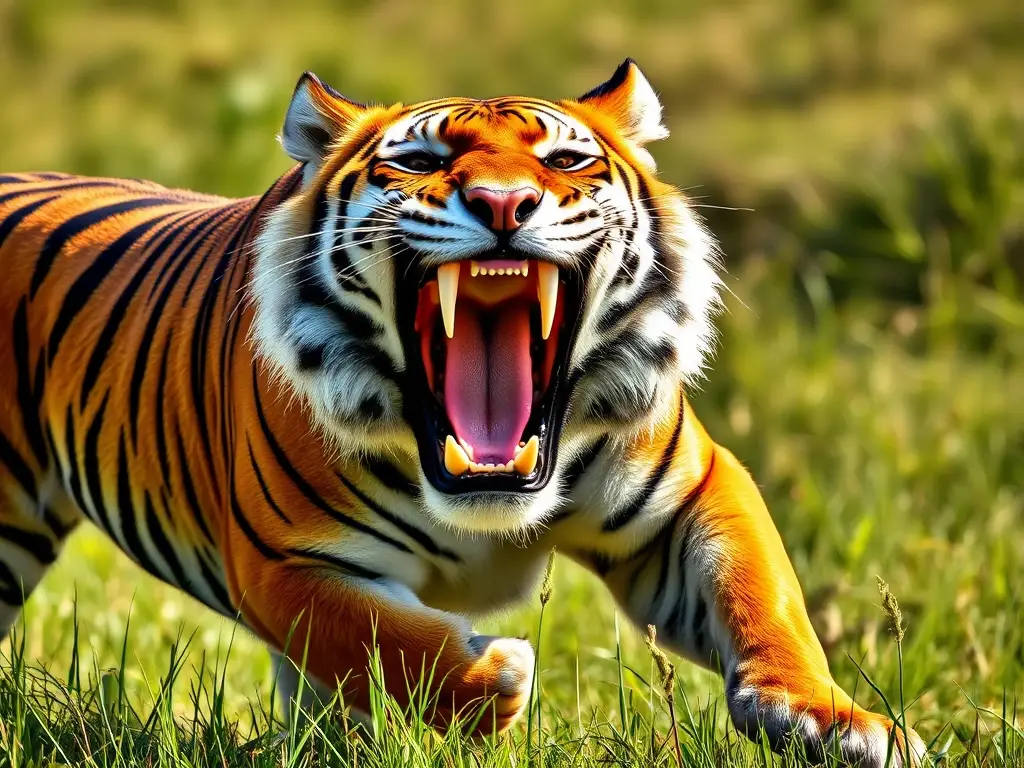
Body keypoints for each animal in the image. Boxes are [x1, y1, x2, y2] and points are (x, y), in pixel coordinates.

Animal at [0, 60, 925, 765]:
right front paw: (496, 677)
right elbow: (384, 640)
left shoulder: (688, 493)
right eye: (418, 161)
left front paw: (835, 721)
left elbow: (762, 595)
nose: (505, 203)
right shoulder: (279, 561)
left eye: (566, 160)